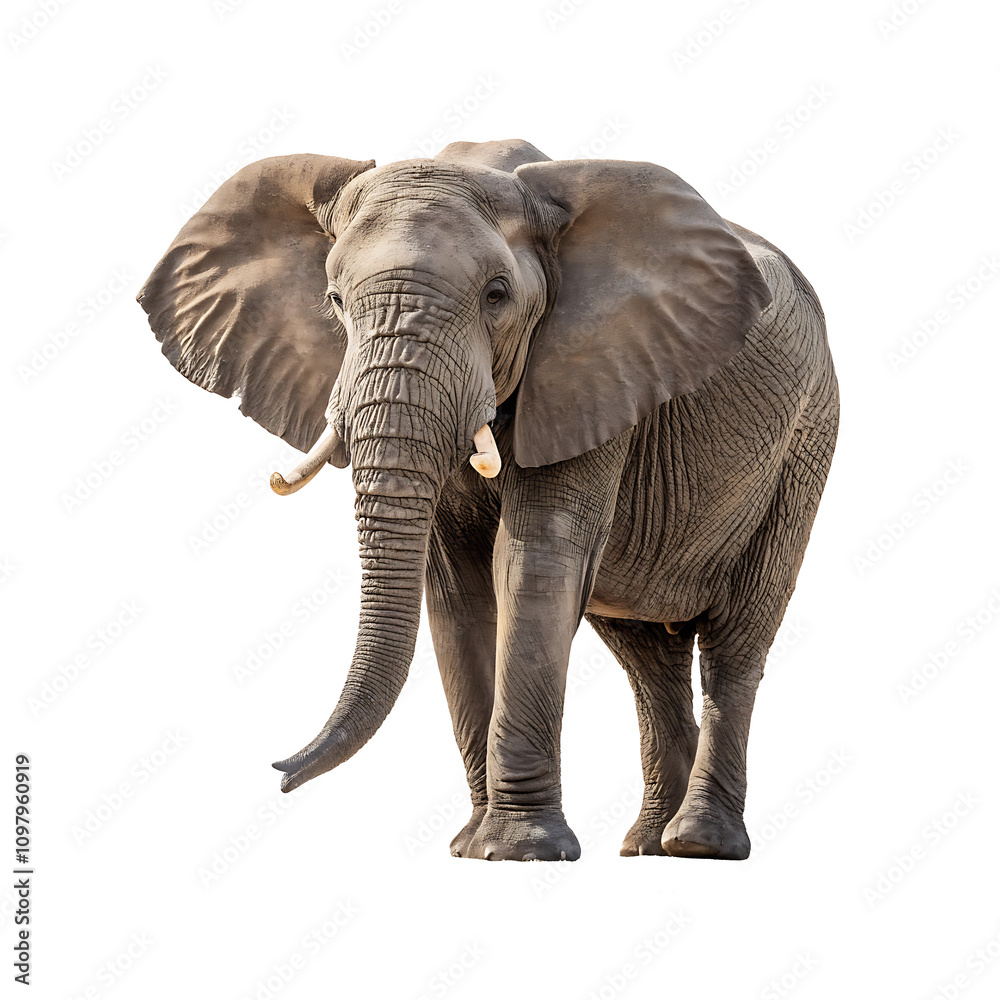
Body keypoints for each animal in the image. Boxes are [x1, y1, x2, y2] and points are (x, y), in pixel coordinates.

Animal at [138, 138, 838, 862]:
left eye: (497, 295)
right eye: (333, 299)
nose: (278, 771)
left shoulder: (589, 369)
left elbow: (533, 562)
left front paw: (520, 849)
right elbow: (456, 587)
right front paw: (470, 845)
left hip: (804, 441)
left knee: (736, 640)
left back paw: (700, 843)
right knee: (646, 654)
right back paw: (648, 844)